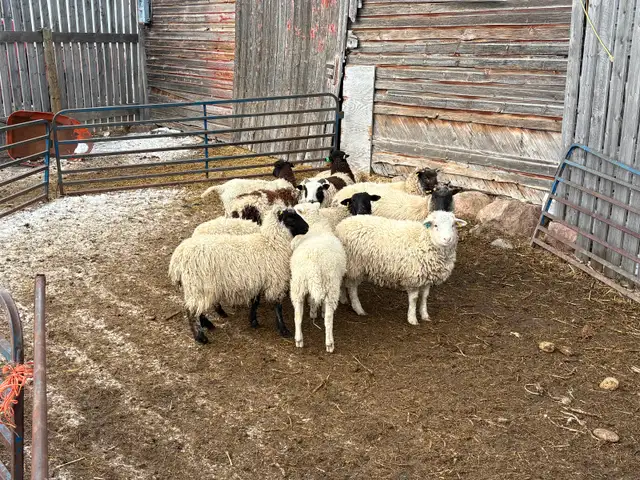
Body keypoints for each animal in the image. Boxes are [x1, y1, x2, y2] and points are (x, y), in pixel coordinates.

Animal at [169, 207, 309, 343]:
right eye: (291, 218)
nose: (307, 227)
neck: (271, 243)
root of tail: (176, 260)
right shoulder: (275, 281)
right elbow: (277, 307)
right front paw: (283, 329)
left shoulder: (257, 279)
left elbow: (255, 301)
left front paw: (253, 320)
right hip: (198, 285)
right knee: (192, 312)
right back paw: (201, 336)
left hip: (197, 287)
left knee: (196, 308)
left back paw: (208, 323)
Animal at [335, 209, 467, 325]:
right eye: (435, 225)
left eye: (453, 225)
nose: (447, 239)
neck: (425, 239)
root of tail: (341, 225)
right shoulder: (414, 277)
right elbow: (414, 299)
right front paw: (412, 319)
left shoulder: (427, 277)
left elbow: (424, 297)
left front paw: (425, 315)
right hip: (355, 266)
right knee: (352, 288)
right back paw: (359, 309)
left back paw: (343, 299)